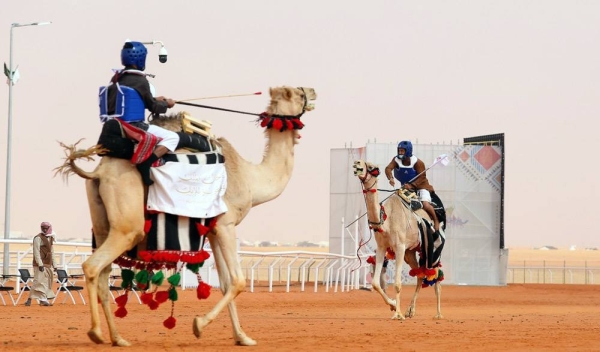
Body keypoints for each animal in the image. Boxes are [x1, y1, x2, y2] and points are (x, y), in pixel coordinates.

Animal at [56, 86, 316, 346]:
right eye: (297, 93)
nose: (313, 92)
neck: (250, 178)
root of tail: (98, 172)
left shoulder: (213, 229)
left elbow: (225, 284)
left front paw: (242, 337)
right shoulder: (226, 224)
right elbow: (238, 281)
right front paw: (199, 324)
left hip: (101, 224)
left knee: (103, 275)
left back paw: (118, 338)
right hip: (128, 225)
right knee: (93, 266)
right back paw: (96, 333)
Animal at [352, 161, 440, 320]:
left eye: (372, 167)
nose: (357, 164)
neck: (386, 222)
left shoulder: (399, 246)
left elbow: (398, 284)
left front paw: (398, 314)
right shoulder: (382, 247)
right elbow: (375, 283)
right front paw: (393, 305)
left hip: (430, 249)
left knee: (435, 277)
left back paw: (438, 314)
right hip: (410, 252)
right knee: (420, 274)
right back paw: (410, 311)